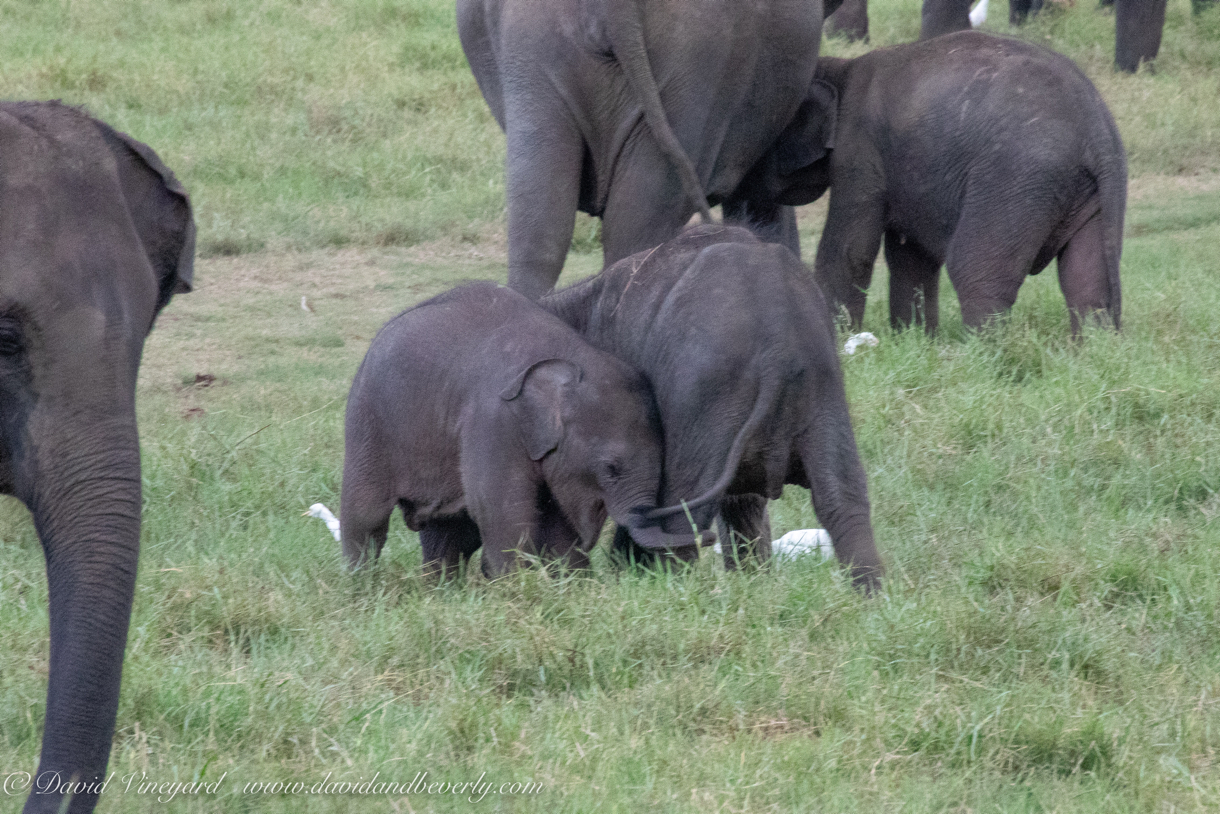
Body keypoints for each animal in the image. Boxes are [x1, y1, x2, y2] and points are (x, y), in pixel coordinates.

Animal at [339, 281, 712, 578]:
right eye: (611, 469)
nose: (707, 536)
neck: (571, 356)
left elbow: (556, 523)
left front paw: (573, 586)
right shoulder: (493, 422)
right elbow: (504, 512)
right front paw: (517, 589)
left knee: (448, 532)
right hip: (367, 420)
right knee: (366, 516)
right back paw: (362, 591)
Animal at [549, 224, 883, 593]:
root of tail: (778, 349)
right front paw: (751, 583)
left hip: (705, 396)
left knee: (679, 514)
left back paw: (671, 593)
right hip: (822, 387)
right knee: (842, 499)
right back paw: (871, 599)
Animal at [732, 31, 1122, 336]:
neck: (841, 68)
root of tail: (1096, 129)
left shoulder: (859, 153)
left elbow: (851, 251)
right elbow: (910, 256)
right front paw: (916, 341)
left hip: (1016, 178)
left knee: (976, 270)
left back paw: (984, 358)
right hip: (1083, 190)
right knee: (1086, 279)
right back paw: (1089, 354)